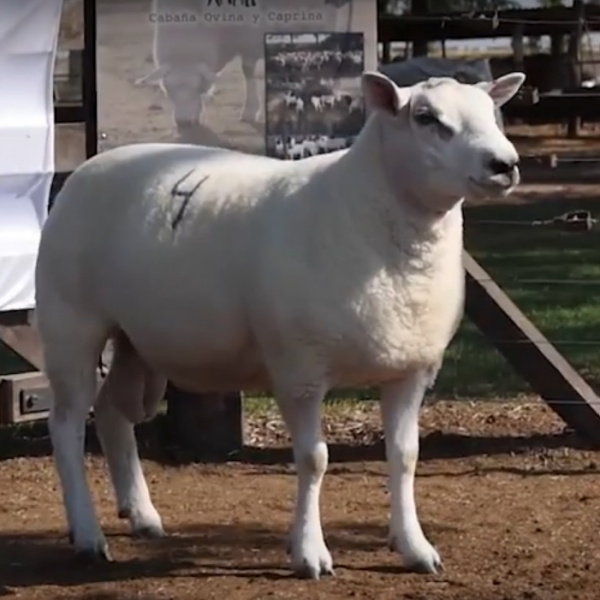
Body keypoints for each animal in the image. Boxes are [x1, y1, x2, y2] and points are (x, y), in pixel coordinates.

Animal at [35, 70, 525, 580]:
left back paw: (142, 516)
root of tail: (90, 165)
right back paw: (87, 535)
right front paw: (309, 552)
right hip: (71, 323)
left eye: (492, 113)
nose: (504, 165)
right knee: (67, 425)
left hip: (135, 338)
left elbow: (405, 457)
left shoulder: (411, 368)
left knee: (113, 412)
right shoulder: (300, 369)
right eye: (426, 118)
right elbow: (314, 460)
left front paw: (414, 546)